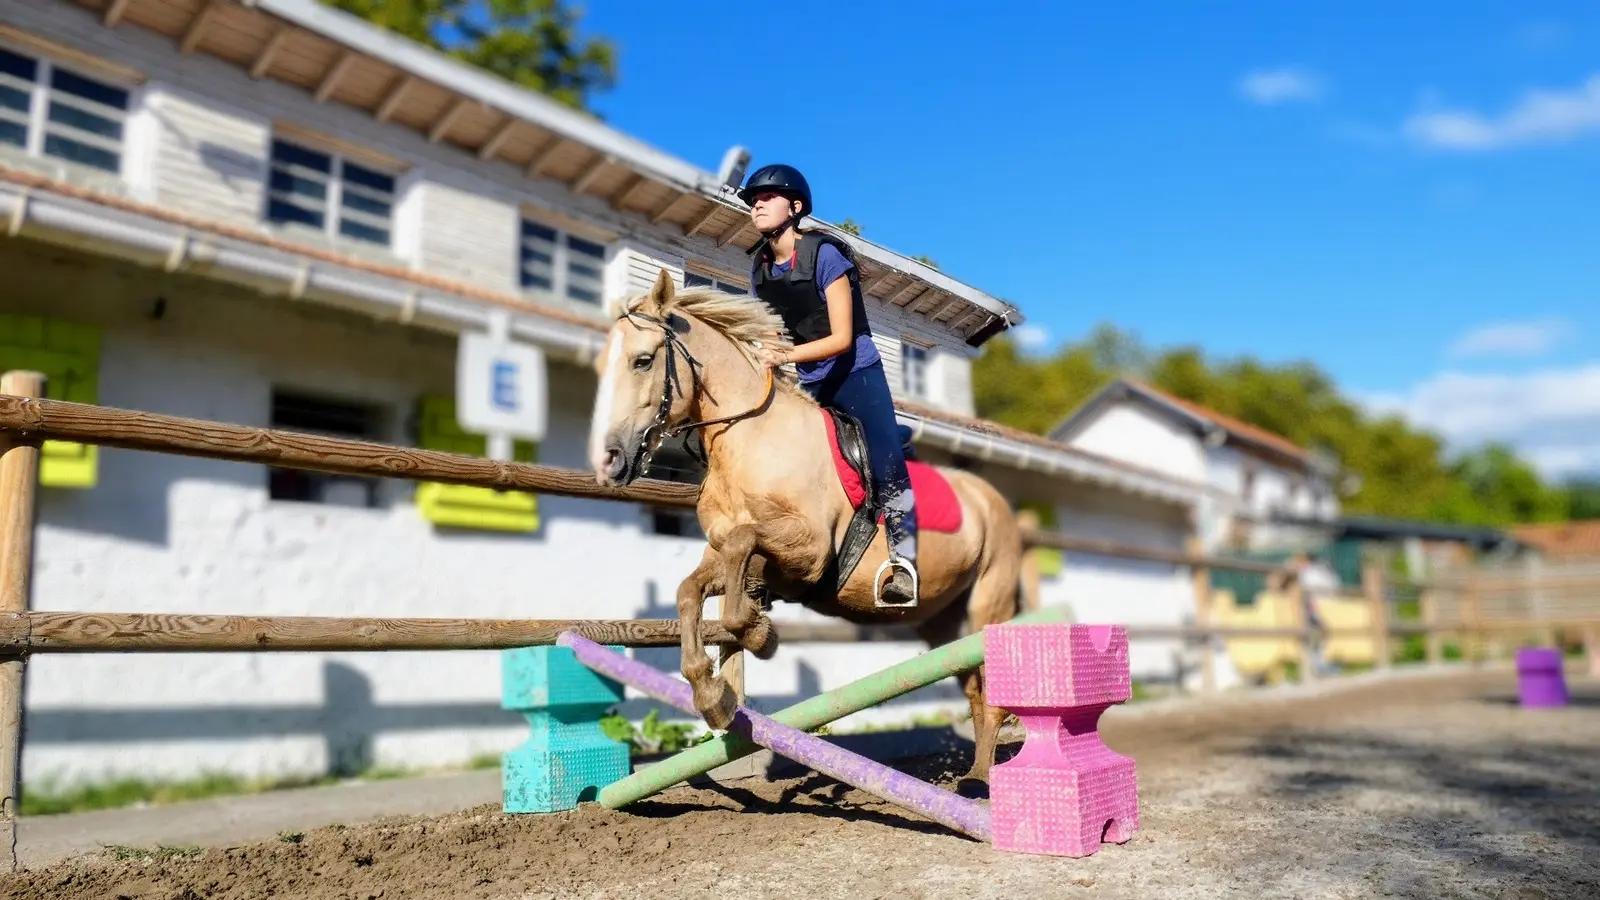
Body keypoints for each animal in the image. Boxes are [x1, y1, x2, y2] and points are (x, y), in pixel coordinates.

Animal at [595, 267, 1030, 784]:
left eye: (642, 361)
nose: (611, 459)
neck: (747, 439)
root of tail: (993, 499)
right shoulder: (736, 558)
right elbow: (690, 590)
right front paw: (713, 696)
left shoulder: (812, 551)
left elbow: (743, 551)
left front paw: (758, 634)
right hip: (942, 620)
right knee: (974, 690)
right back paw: (976, 776)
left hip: (988, 604)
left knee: (992, 692)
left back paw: (983, 780)